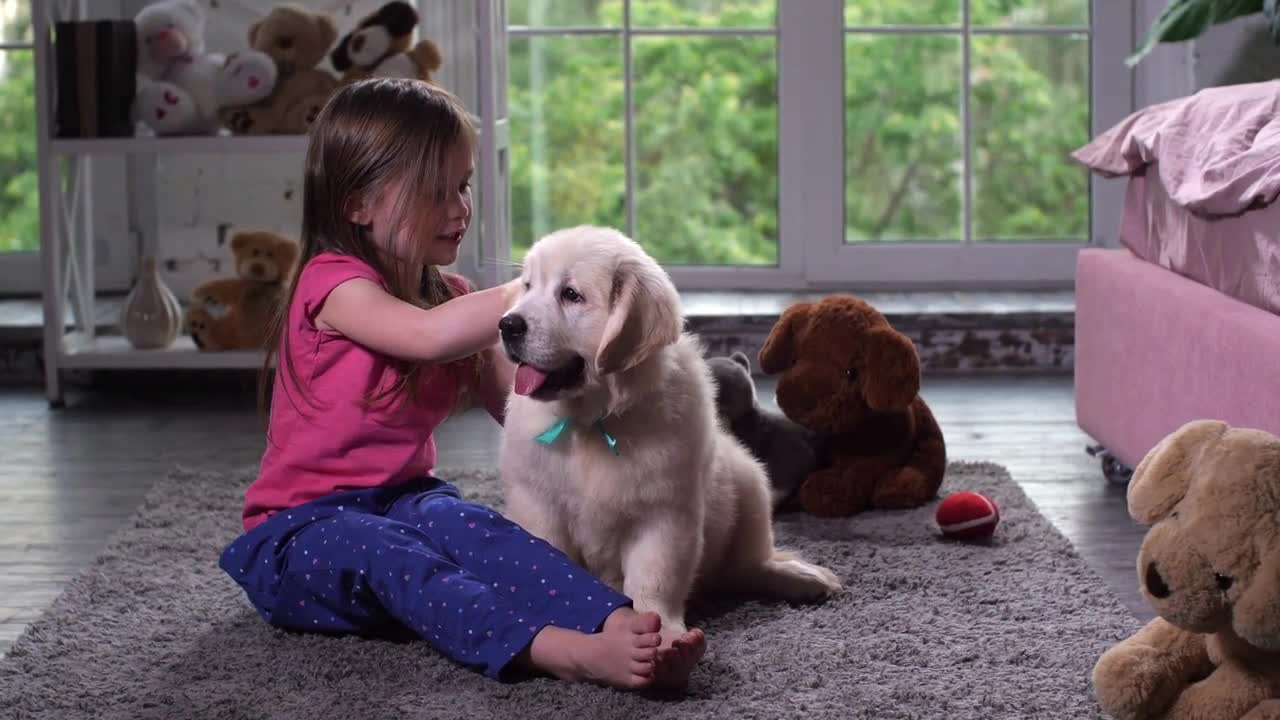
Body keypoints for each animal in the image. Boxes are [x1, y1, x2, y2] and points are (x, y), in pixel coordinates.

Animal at [496, 222, 839, 627]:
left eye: (571, 294)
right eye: (528, 286)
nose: (506, 325)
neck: (593, 422)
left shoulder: (664, 512)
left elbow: (655, 577)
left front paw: (661, 629)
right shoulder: (539, 506)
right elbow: (551, 567)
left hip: (748, 482)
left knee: (750, 563)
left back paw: (798, 577)